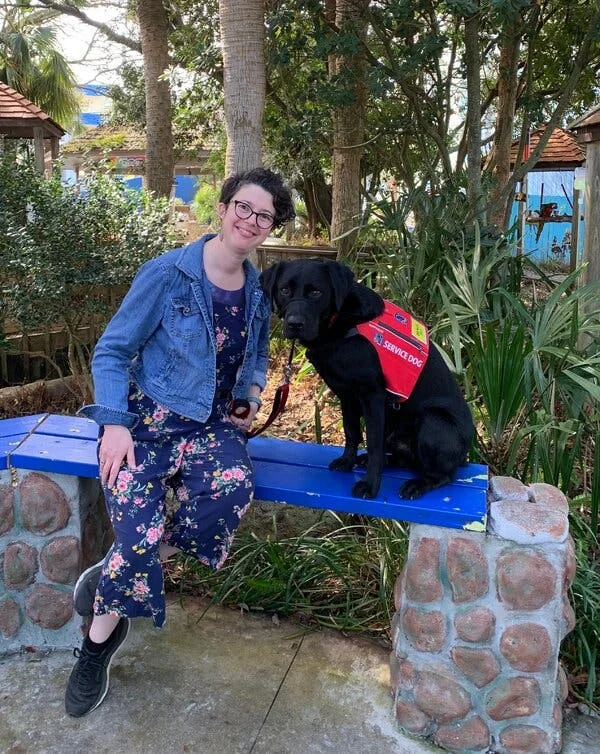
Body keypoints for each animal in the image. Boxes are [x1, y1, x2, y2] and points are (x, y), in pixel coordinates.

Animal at [260, 258, 476, 500]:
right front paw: (347, 462)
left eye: (316, 292)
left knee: (442, 475)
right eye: (284, 290)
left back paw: (417, 484)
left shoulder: (372, 396)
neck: (342, 324)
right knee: (405, 459)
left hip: (432, 422)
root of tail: (464, 456)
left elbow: (372, 443)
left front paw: (370, 485)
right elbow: (351, 431)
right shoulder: (346, 396)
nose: (294, 324)